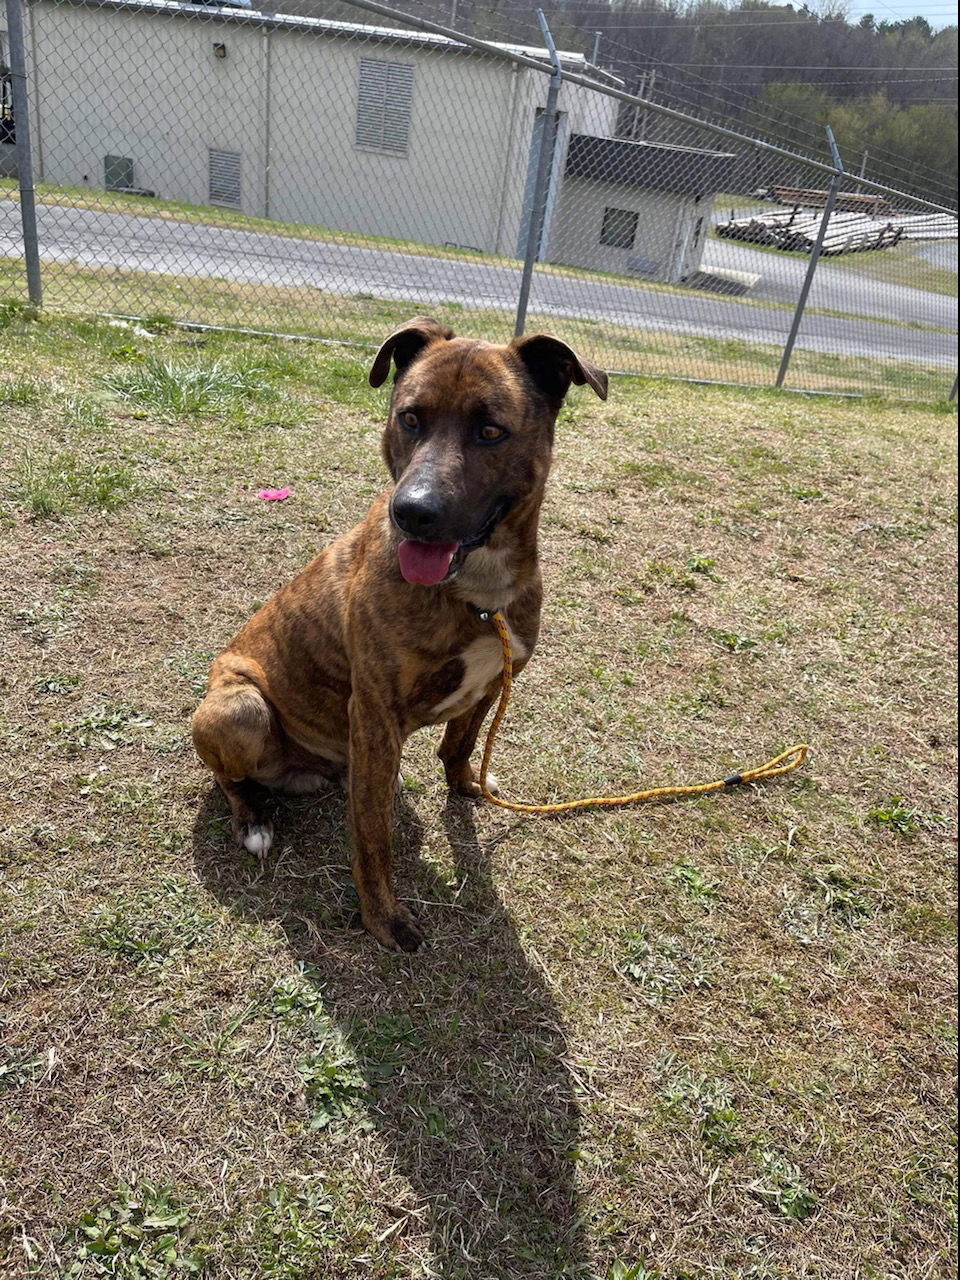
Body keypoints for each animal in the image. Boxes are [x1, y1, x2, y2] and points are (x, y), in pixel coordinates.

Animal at [193, 314, 609, 947]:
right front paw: (382, 918)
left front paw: (466, 788)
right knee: (231, 779)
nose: (412, 512)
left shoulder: (490, 684)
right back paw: (255, 820)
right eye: (410, 418)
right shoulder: (372, 709)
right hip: (240, 709)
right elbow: (372, 838)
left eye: (491, 430)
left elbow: (459, 746)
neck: (476, 591)